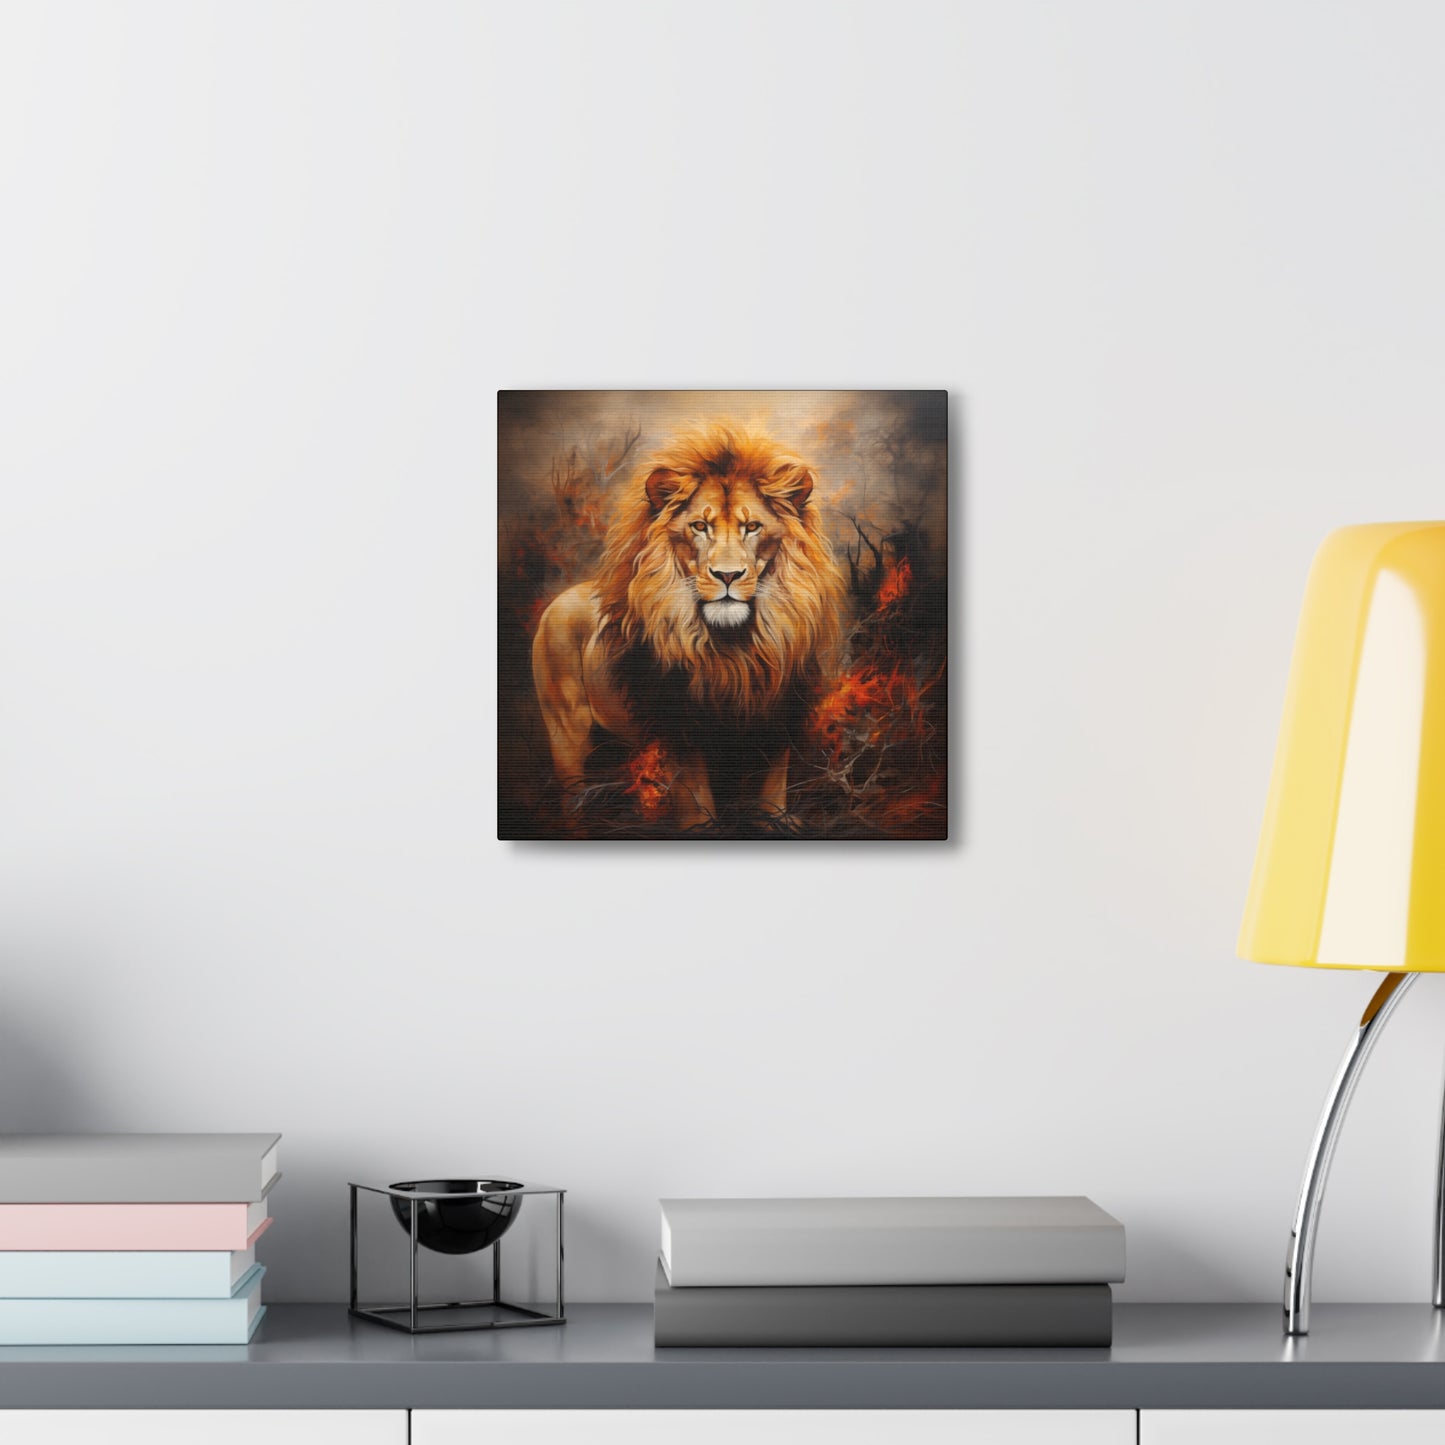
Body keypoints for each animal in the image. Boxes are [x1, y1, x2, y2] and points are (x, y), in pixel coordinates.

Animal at [531, 425, 847, 831]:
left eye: (752, 527)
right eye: (699, 526)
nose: (727, 575)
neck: (736, 649)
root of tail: (559, 600)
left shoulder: (779, 717)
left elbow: (772, 788)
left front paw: (774, 821)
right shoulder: (682, 727)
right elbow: (696, 801)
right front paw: (701, 827)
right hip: (567, 732)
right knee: (572, 798)